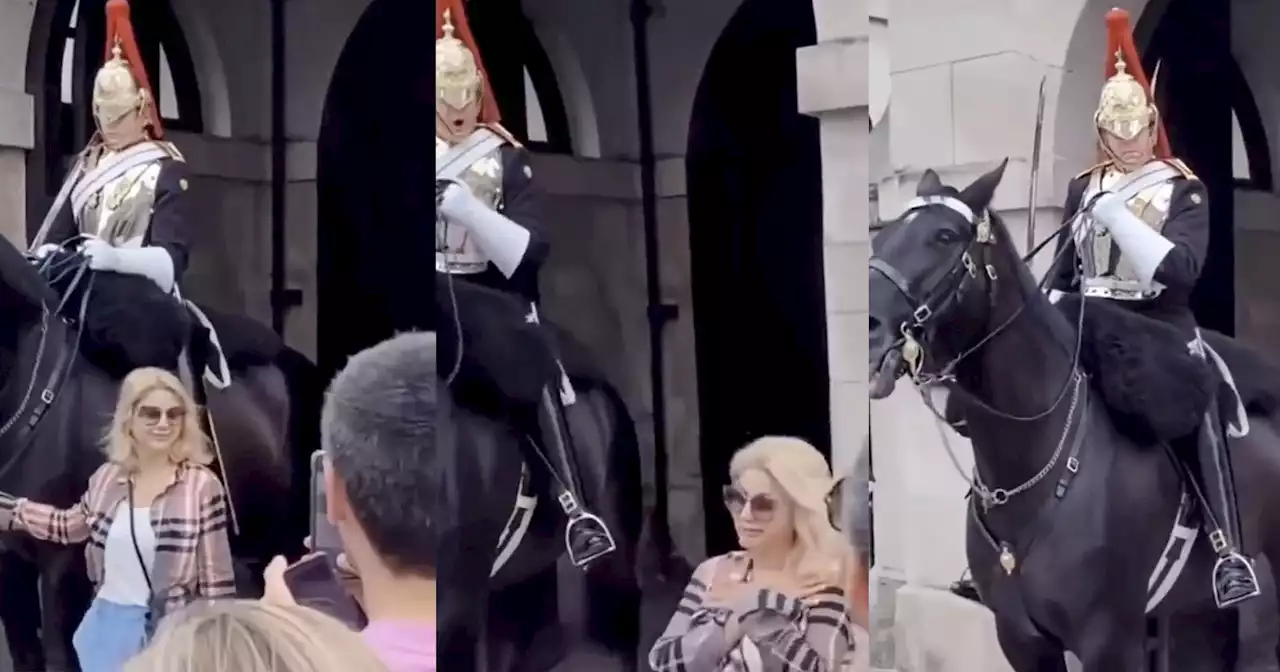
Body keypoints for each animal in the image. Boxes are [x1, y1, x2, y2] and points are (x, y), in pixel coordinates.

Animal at [870, 161, 1280, 665]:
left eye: (944, 236)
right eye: (884, 236)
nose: (869, 331)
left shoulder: (1111, 640)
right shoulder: (1021, 639)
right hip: (1198, 618)